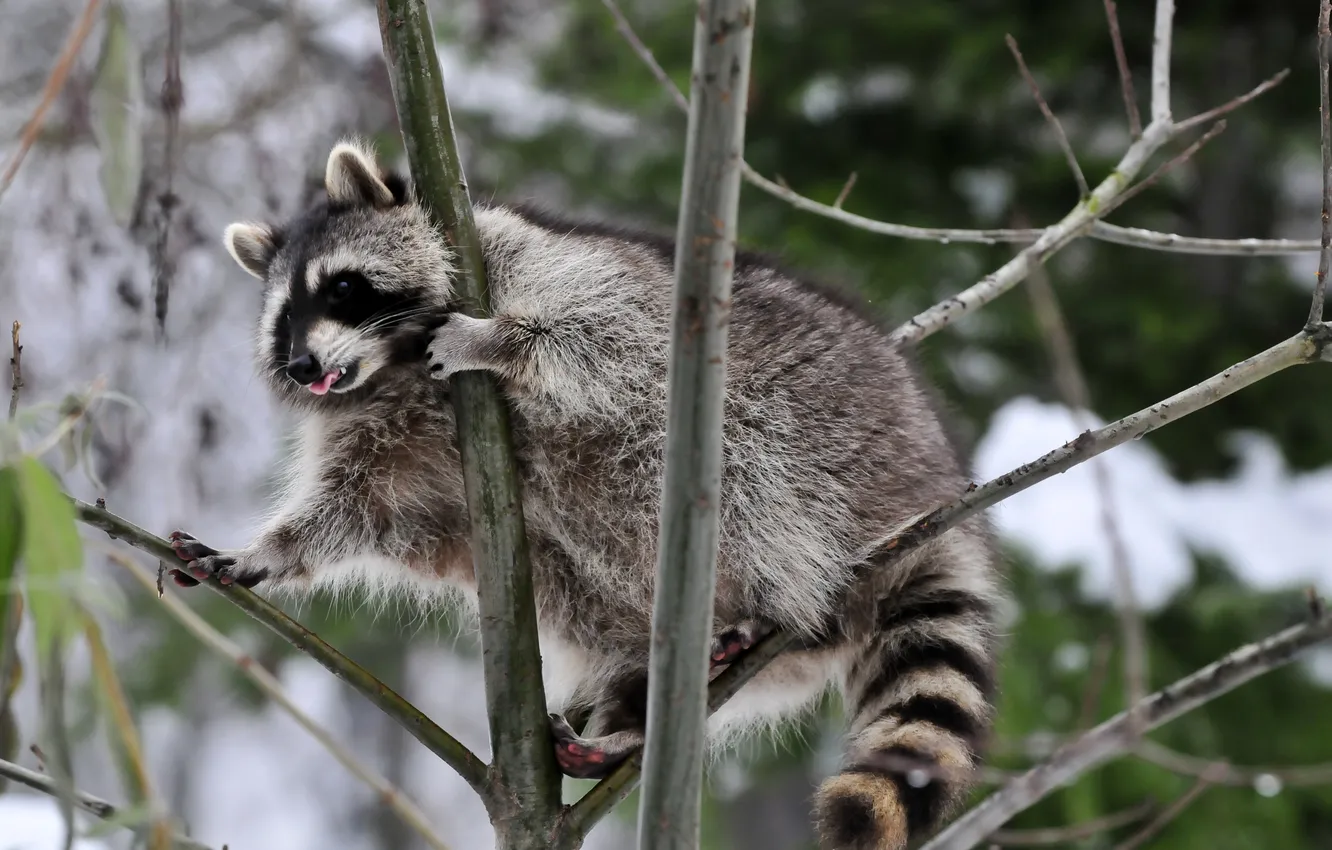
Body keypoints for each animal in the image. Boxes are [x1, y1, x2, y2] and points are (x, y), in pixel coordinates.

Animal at [168, 140, 1003, 850]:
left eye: (340, 287)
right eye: (282, 320)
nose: (303, 366)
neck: (394, 363)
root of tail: (932, 490)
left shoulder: (548, 266)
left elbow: (598, 331)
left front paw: (501, 342)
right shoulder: (381, 436)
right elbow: (357, 509)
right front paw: (268, 551)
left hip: (814, 454)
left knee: (732, 470)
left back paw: (760, 607)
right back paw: (632, 718)